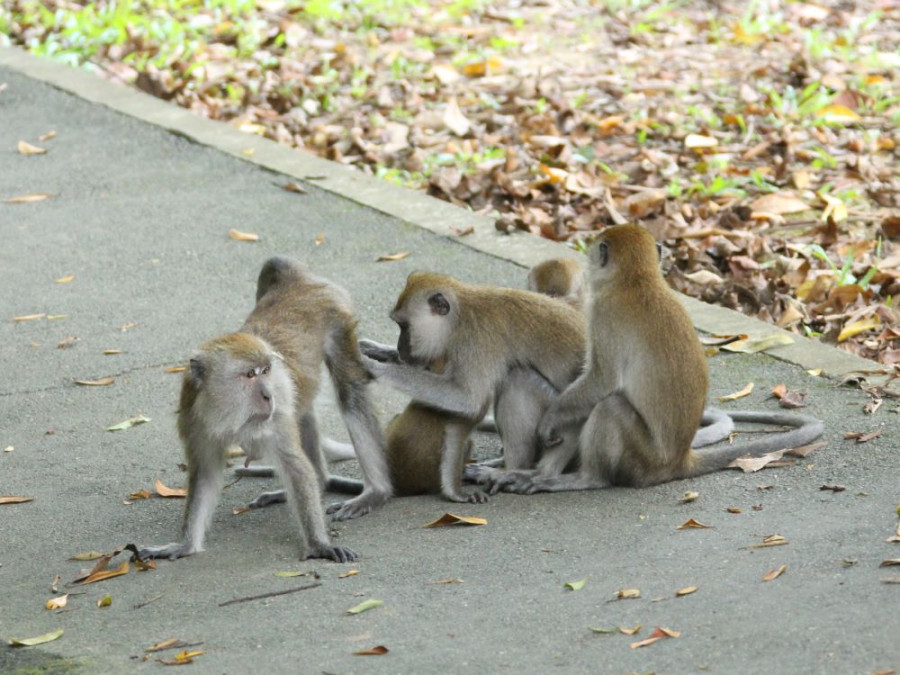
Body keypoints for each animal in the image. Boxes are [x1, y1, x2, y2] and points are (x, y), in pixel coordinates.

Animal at [139, 256, 392, 564]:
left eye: (266, 371)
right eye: (250, 375)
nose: (268, 395)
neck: (227, 415)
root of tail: (298, 281)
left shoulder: (276, 419)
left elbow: (296, 467)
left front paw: (319, 545)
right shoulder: (193, 420)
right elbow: (206, 474)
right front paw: (184, 545)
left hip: (337, 313)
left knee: (351, 393)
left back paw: (375, 492)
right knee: (305, 409)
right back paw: (320, 481)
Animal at [478, 227, 824, 496]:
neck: (638, 279)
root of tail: (678, 460)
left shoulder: (604, 314)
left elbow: (601, 381)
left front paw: (551, 419)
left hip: (642, 456)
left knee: (610, 407)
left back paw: (584, 479)